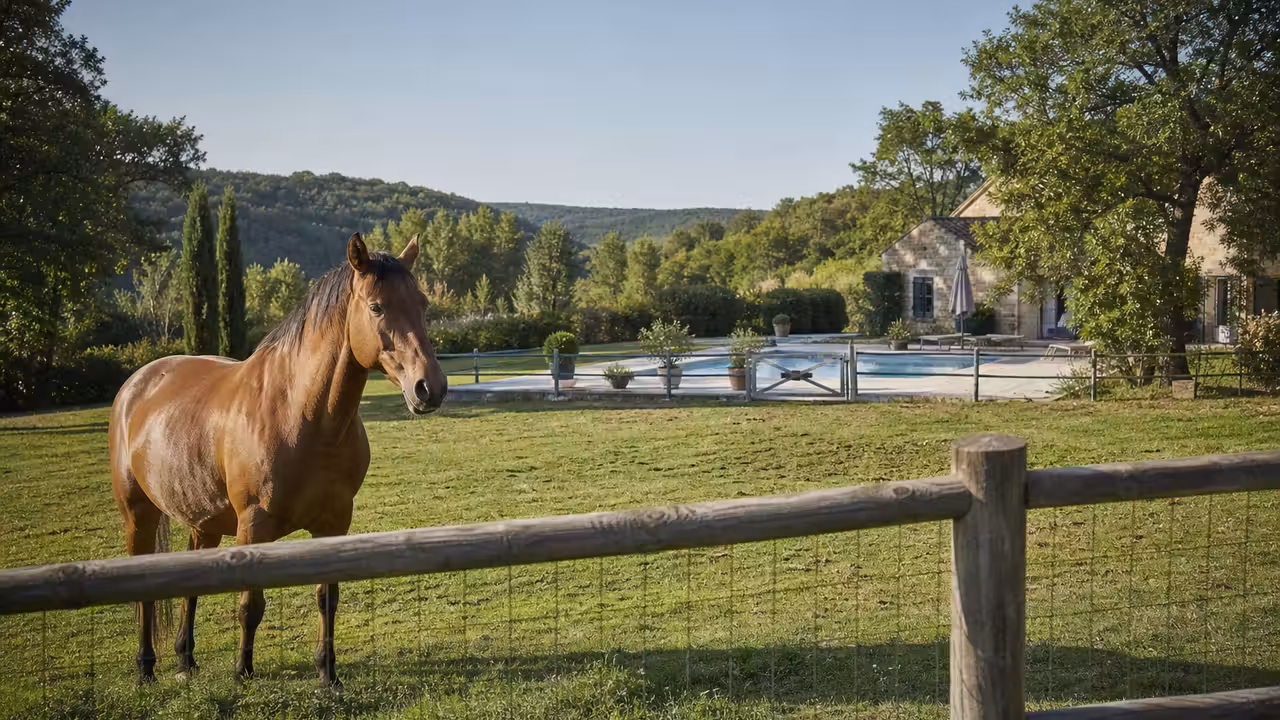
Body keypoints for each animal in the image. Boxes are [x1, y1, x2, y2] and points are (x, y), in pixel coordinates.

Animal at [108, 233, 446, 686]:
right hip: (138, 515)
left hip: (203, 521)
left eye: (422, 303)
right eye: (376, 307)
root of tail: (136, 384)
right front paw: (242, 672)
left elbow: (327, 596)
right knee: (143, 589)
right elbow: (250, 604)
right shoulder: (254, 525)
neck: (300, 414)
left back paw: (185, 660)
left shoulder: (334, 523)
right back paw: (146, 668)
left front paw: (327, 673)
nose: (430, 387)